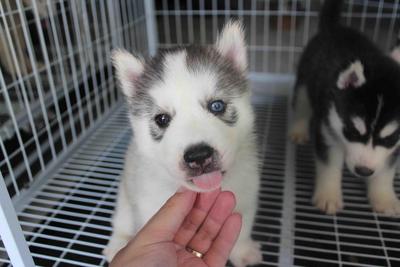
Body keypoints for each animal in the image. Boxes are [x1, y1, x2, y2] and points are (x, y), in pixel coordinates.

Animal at [290, 0, 400, 216]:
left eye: (389, 139)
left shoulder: (394, 148)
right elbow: (329, 165)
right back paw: (298, 129)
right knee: (302, 105)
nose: (364, 171)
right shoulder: (328, 131)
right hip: (305, 82)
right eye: (352, 132)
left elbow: (386, 171)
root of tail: (334, 28)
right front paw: (328, 195)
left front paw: (384, 197)